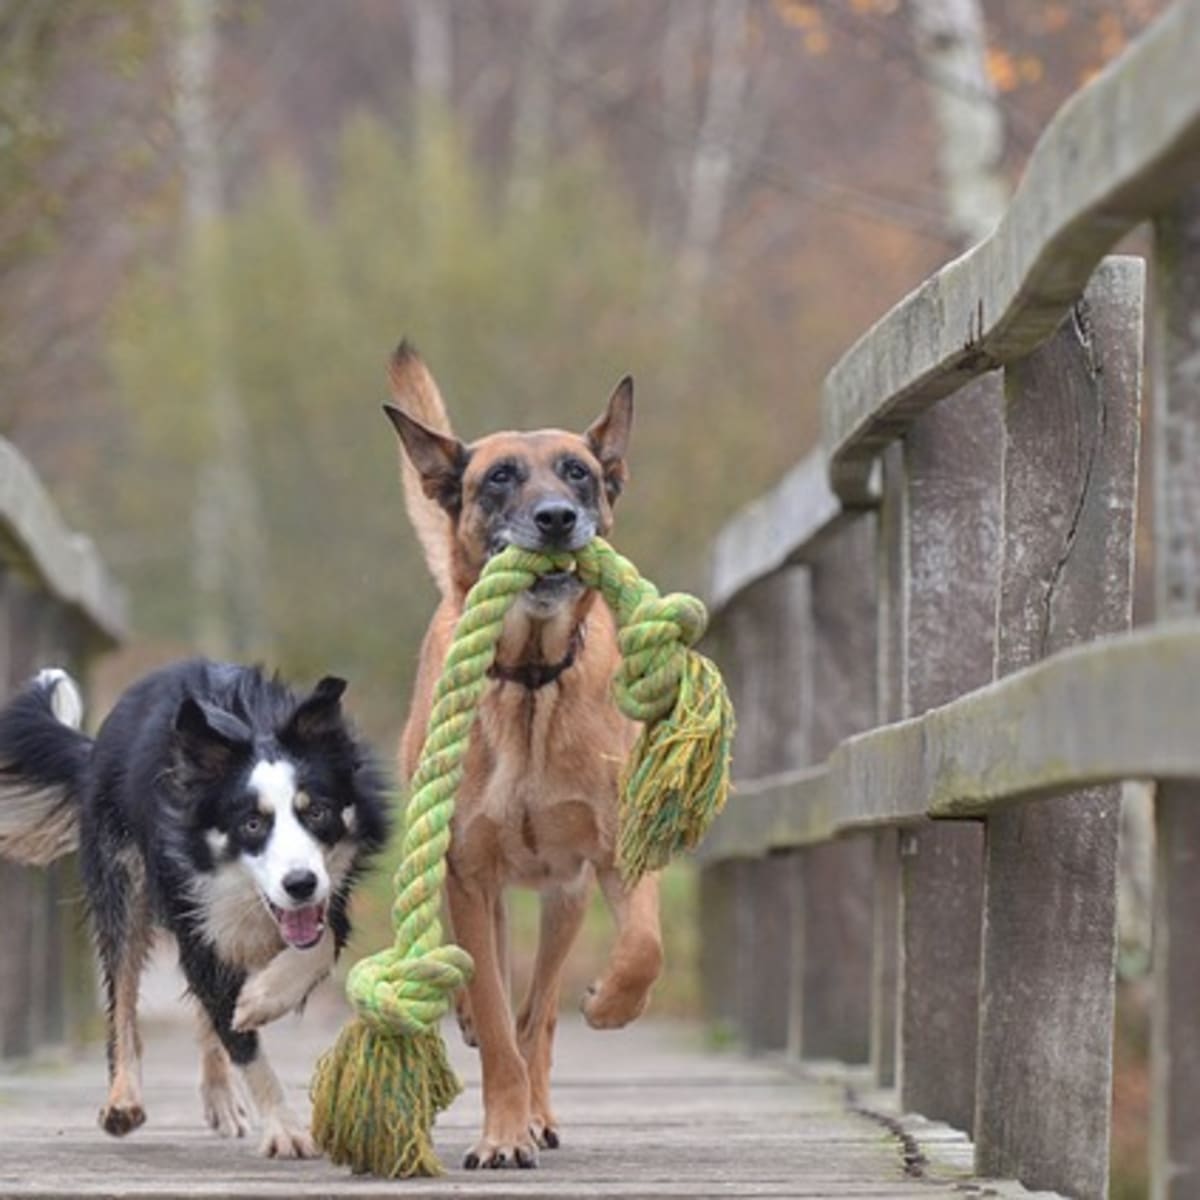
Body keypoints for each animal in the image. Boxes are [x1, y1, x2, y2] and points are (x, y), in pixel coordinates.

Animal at [0, 662, 388, 1156]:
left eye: (316, 812)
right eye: (252, 823)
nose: (299, 884)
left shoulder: (330, 894)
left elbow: (320, 943)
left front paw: (262, 998)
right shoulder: (194, 912)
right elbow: (240, 1040)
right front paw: (285, 1129)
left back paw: (220, 1094)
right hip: (121, 878)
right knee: (123, 993)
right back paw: (123, 1100)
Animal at [384, 348, 667, 1171]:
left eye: (578, 473)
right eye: (500, 477)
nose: (556, 518)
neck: (534, 679)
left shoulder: (615, 855)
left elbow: (642, 947)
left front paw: (610, 1003)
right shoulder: (468, 874)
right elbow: (493, 1017)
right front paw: (502, 1134)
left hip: (563, 899)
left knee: (538, 1013)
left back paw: (544, 1104)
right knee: (498, 1001)